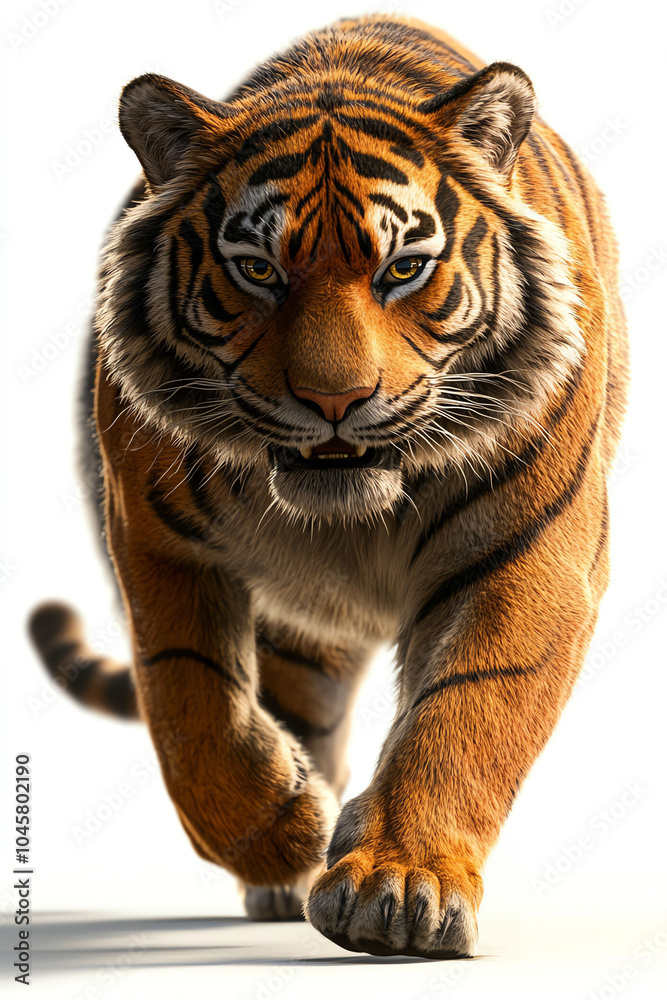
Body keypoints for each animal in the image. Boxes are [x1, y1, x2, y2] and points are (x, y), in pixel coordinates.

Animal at [29, 13, 628, 959]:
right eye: (257, 270)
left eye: (404, 268)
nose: (336, 401)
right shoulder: (152, 537)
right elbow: (189, 702)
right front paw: (280, 832)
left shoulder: (532, 554)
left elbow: (468, 713)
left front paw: (401, 885)